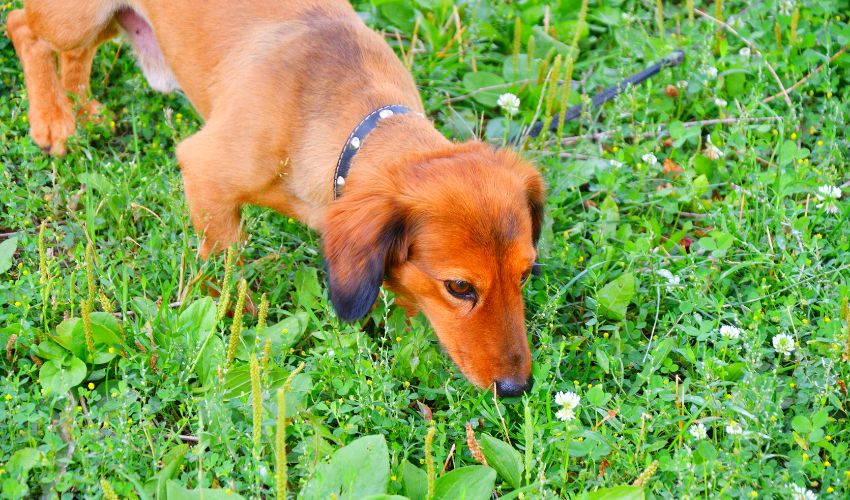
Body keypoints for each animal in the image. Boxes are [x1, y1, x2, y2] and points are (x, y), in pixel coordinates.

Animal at [8, 0, 544, 398]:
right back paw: (52, 118)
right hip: (75, 18)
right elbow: (222, 269)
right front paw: (226, 322)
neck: (350, 126)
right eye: (459, 287)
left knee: (72, 56)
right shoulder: (205, 174)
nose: (516, 388)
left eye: (524, 274)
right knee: (21, 27)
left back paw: (82, 112)